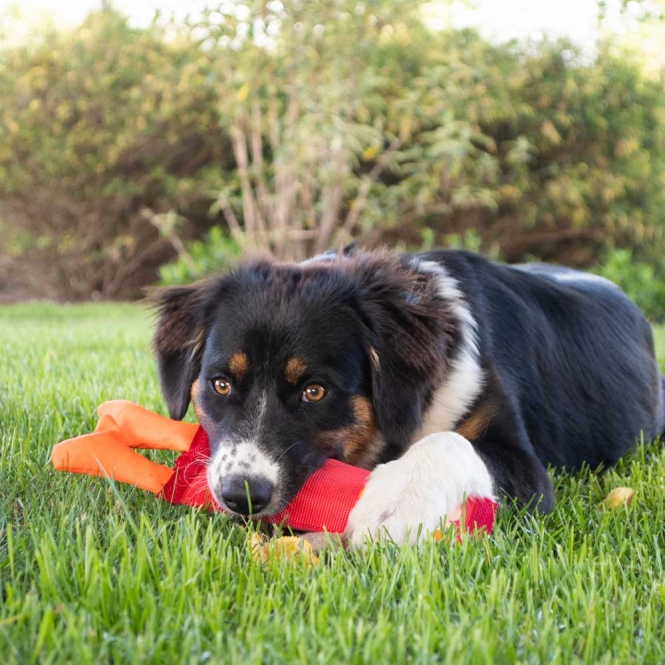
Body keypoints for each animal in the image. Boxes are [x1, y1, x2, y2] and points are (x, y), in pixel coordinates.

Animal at [152, 248, 664, 544]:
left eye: (315, 392)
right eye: (221, 384)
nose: (242, 496)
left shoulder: (528, 469)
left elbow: (450, 441)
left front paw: (394, 504)